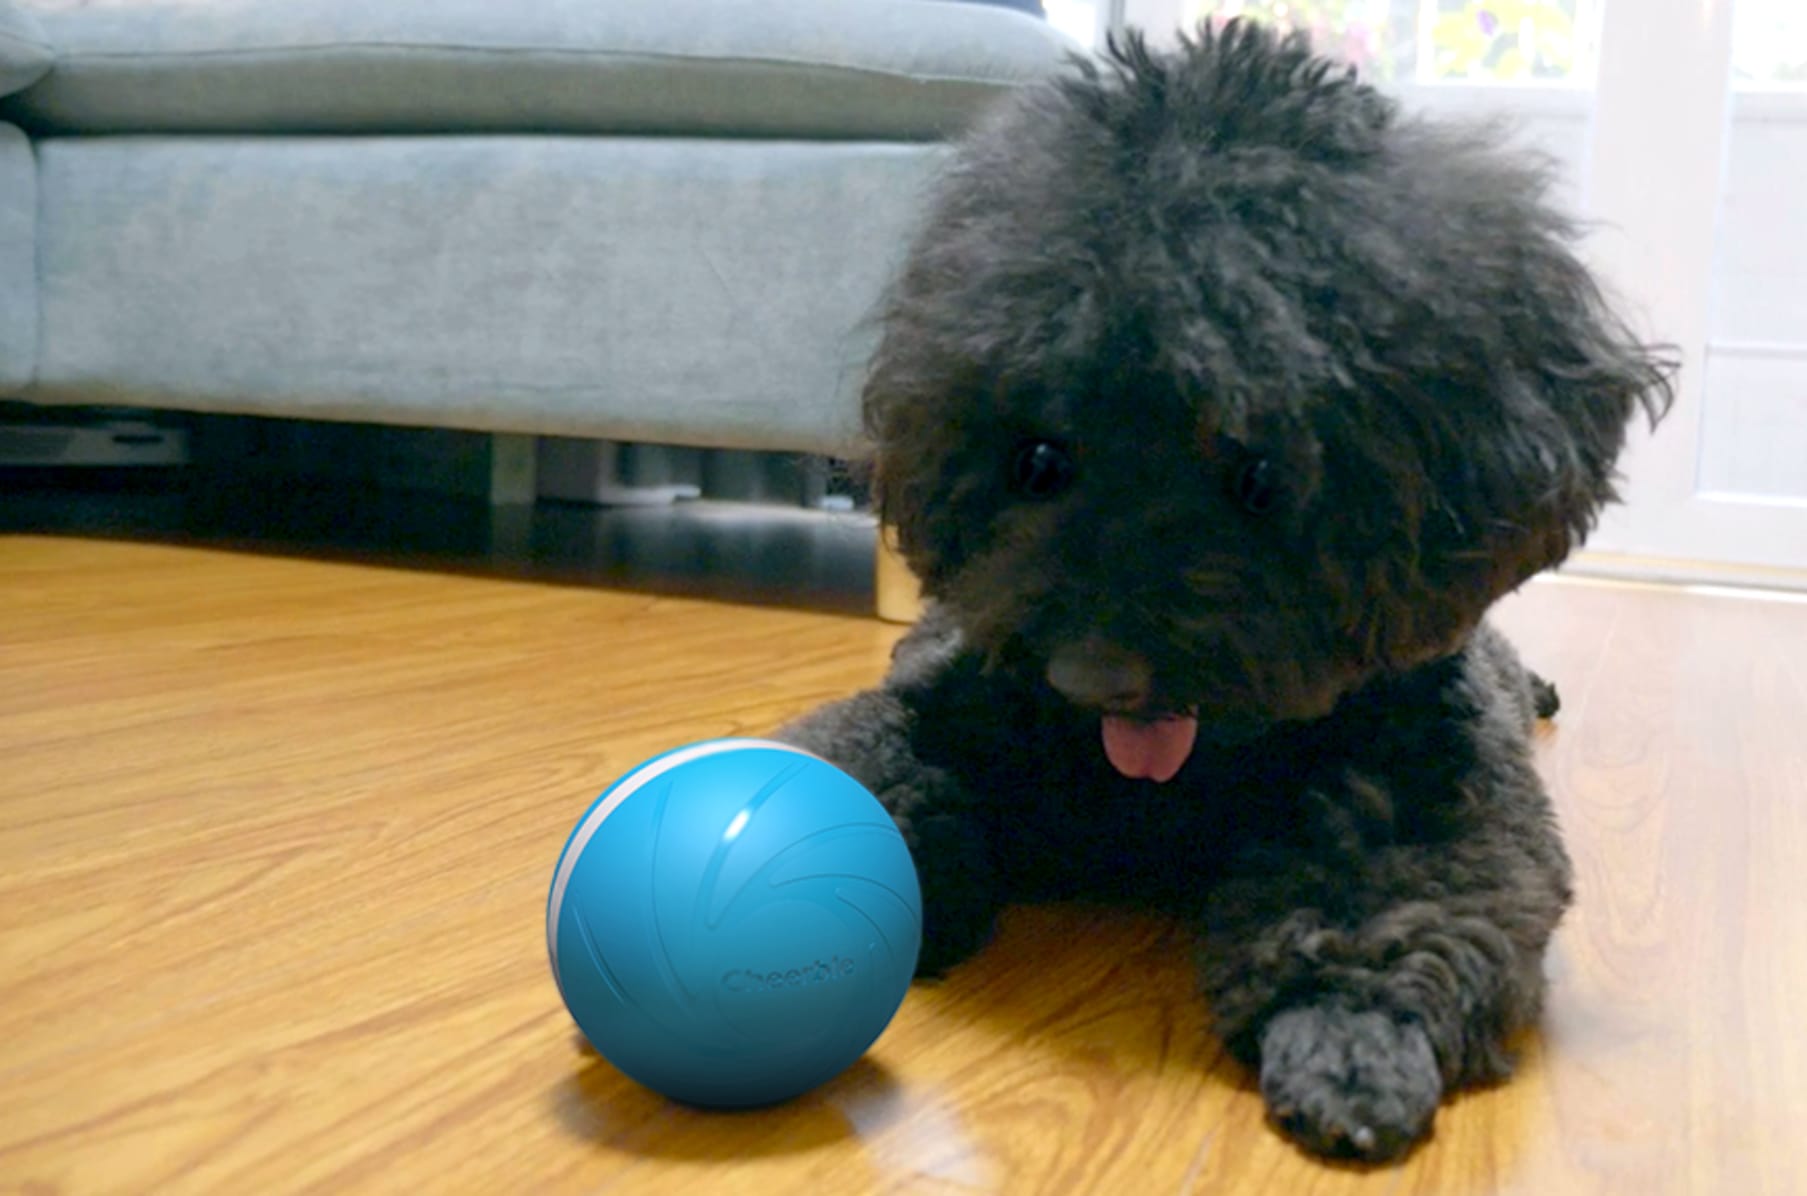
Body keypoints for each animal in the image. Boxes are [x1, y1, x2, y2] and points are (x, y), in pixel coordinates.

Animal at [777, 21, 1662, 1163]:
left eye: (1257, 473)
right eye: (1039, 457)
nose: (1090, 674)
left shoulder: (1428, 795)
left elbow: (1383, 909)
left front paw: (1348, 1047)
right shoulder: (934, 706)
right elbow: (869, 766)